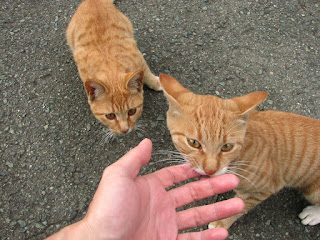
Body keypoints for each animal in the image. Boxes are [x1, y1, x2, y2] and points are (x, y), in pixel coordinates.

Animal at [65, 0, 160, 135]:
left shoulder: (136, 53)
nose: (125, 130)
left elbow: (145, 71)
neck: (110, 65)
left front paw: (156, 83)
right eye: (110, 115)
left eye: (132, 111)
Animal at [159, 74, 320, 228]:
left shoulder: (263, 190)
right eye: (193, 143)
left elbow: (240, 208)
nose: (210, 170)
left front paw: (222, 223)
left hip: (313, 191)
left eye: (227, 146)